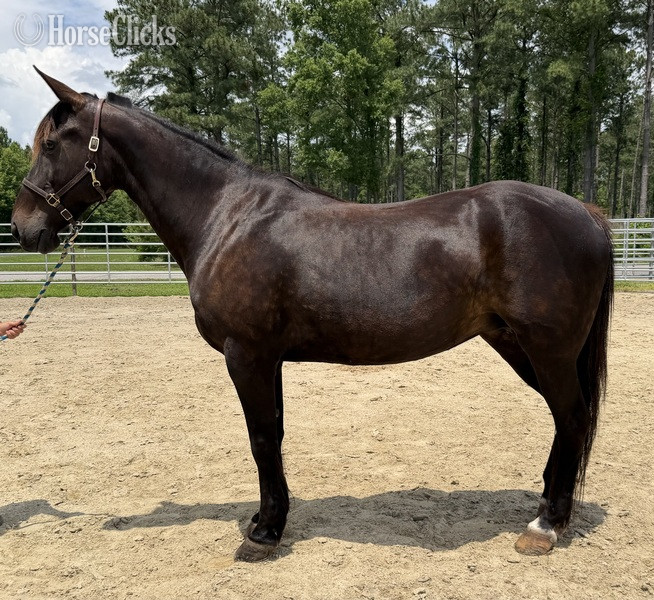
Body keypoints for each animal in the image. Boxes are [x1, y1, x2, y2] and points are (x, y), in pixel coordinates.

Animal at [11, 69, 613, 561]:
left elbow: (261, 436)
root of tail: (586, 212)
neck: (227, 216)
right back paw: (547, 507)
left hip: (547, 348)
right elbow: (273, 434)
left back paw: (545, 526)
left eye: (51, 143)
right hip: (516, 344)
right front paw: (266, 519)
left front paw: (263, 535)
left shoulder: (247, 355)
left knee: (572, 416)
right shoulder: (267, 358)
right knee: (566, 419)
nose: (23, 227)